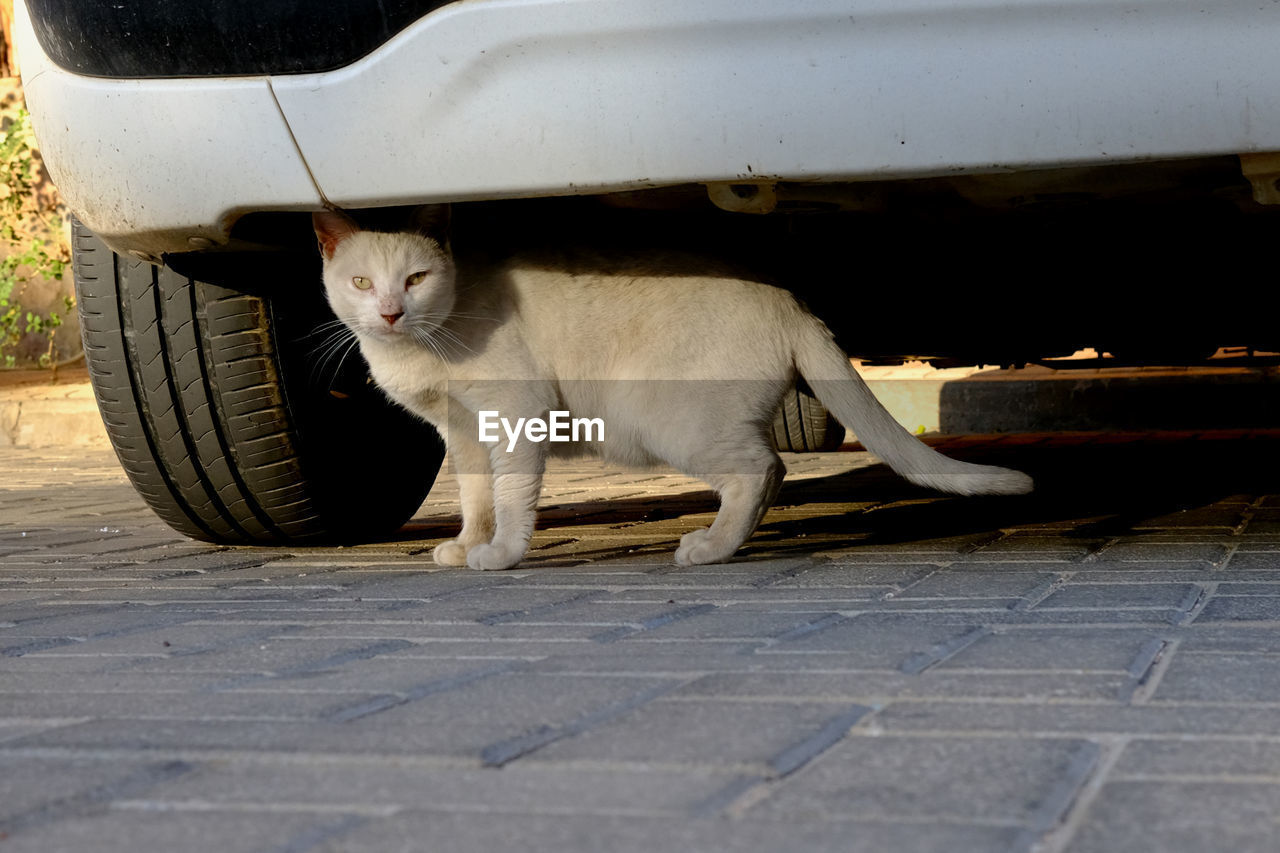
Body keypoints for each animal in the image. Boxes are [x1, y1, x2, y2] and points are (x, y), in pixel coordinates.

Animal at [314, 206, 1034, 568]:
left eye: (416, 278)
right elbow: (476, 500)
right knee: (769, 474)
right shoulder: (463, 435)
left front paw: (499, 557)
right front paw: (466, 547)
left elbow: (512, 502)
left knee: (759, 469)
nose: (389, 312)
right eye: (361, 283)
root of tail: (791, 302)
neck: (420, 347)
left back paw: (709, 549)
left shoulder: (516, 417)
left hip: (659, 421)